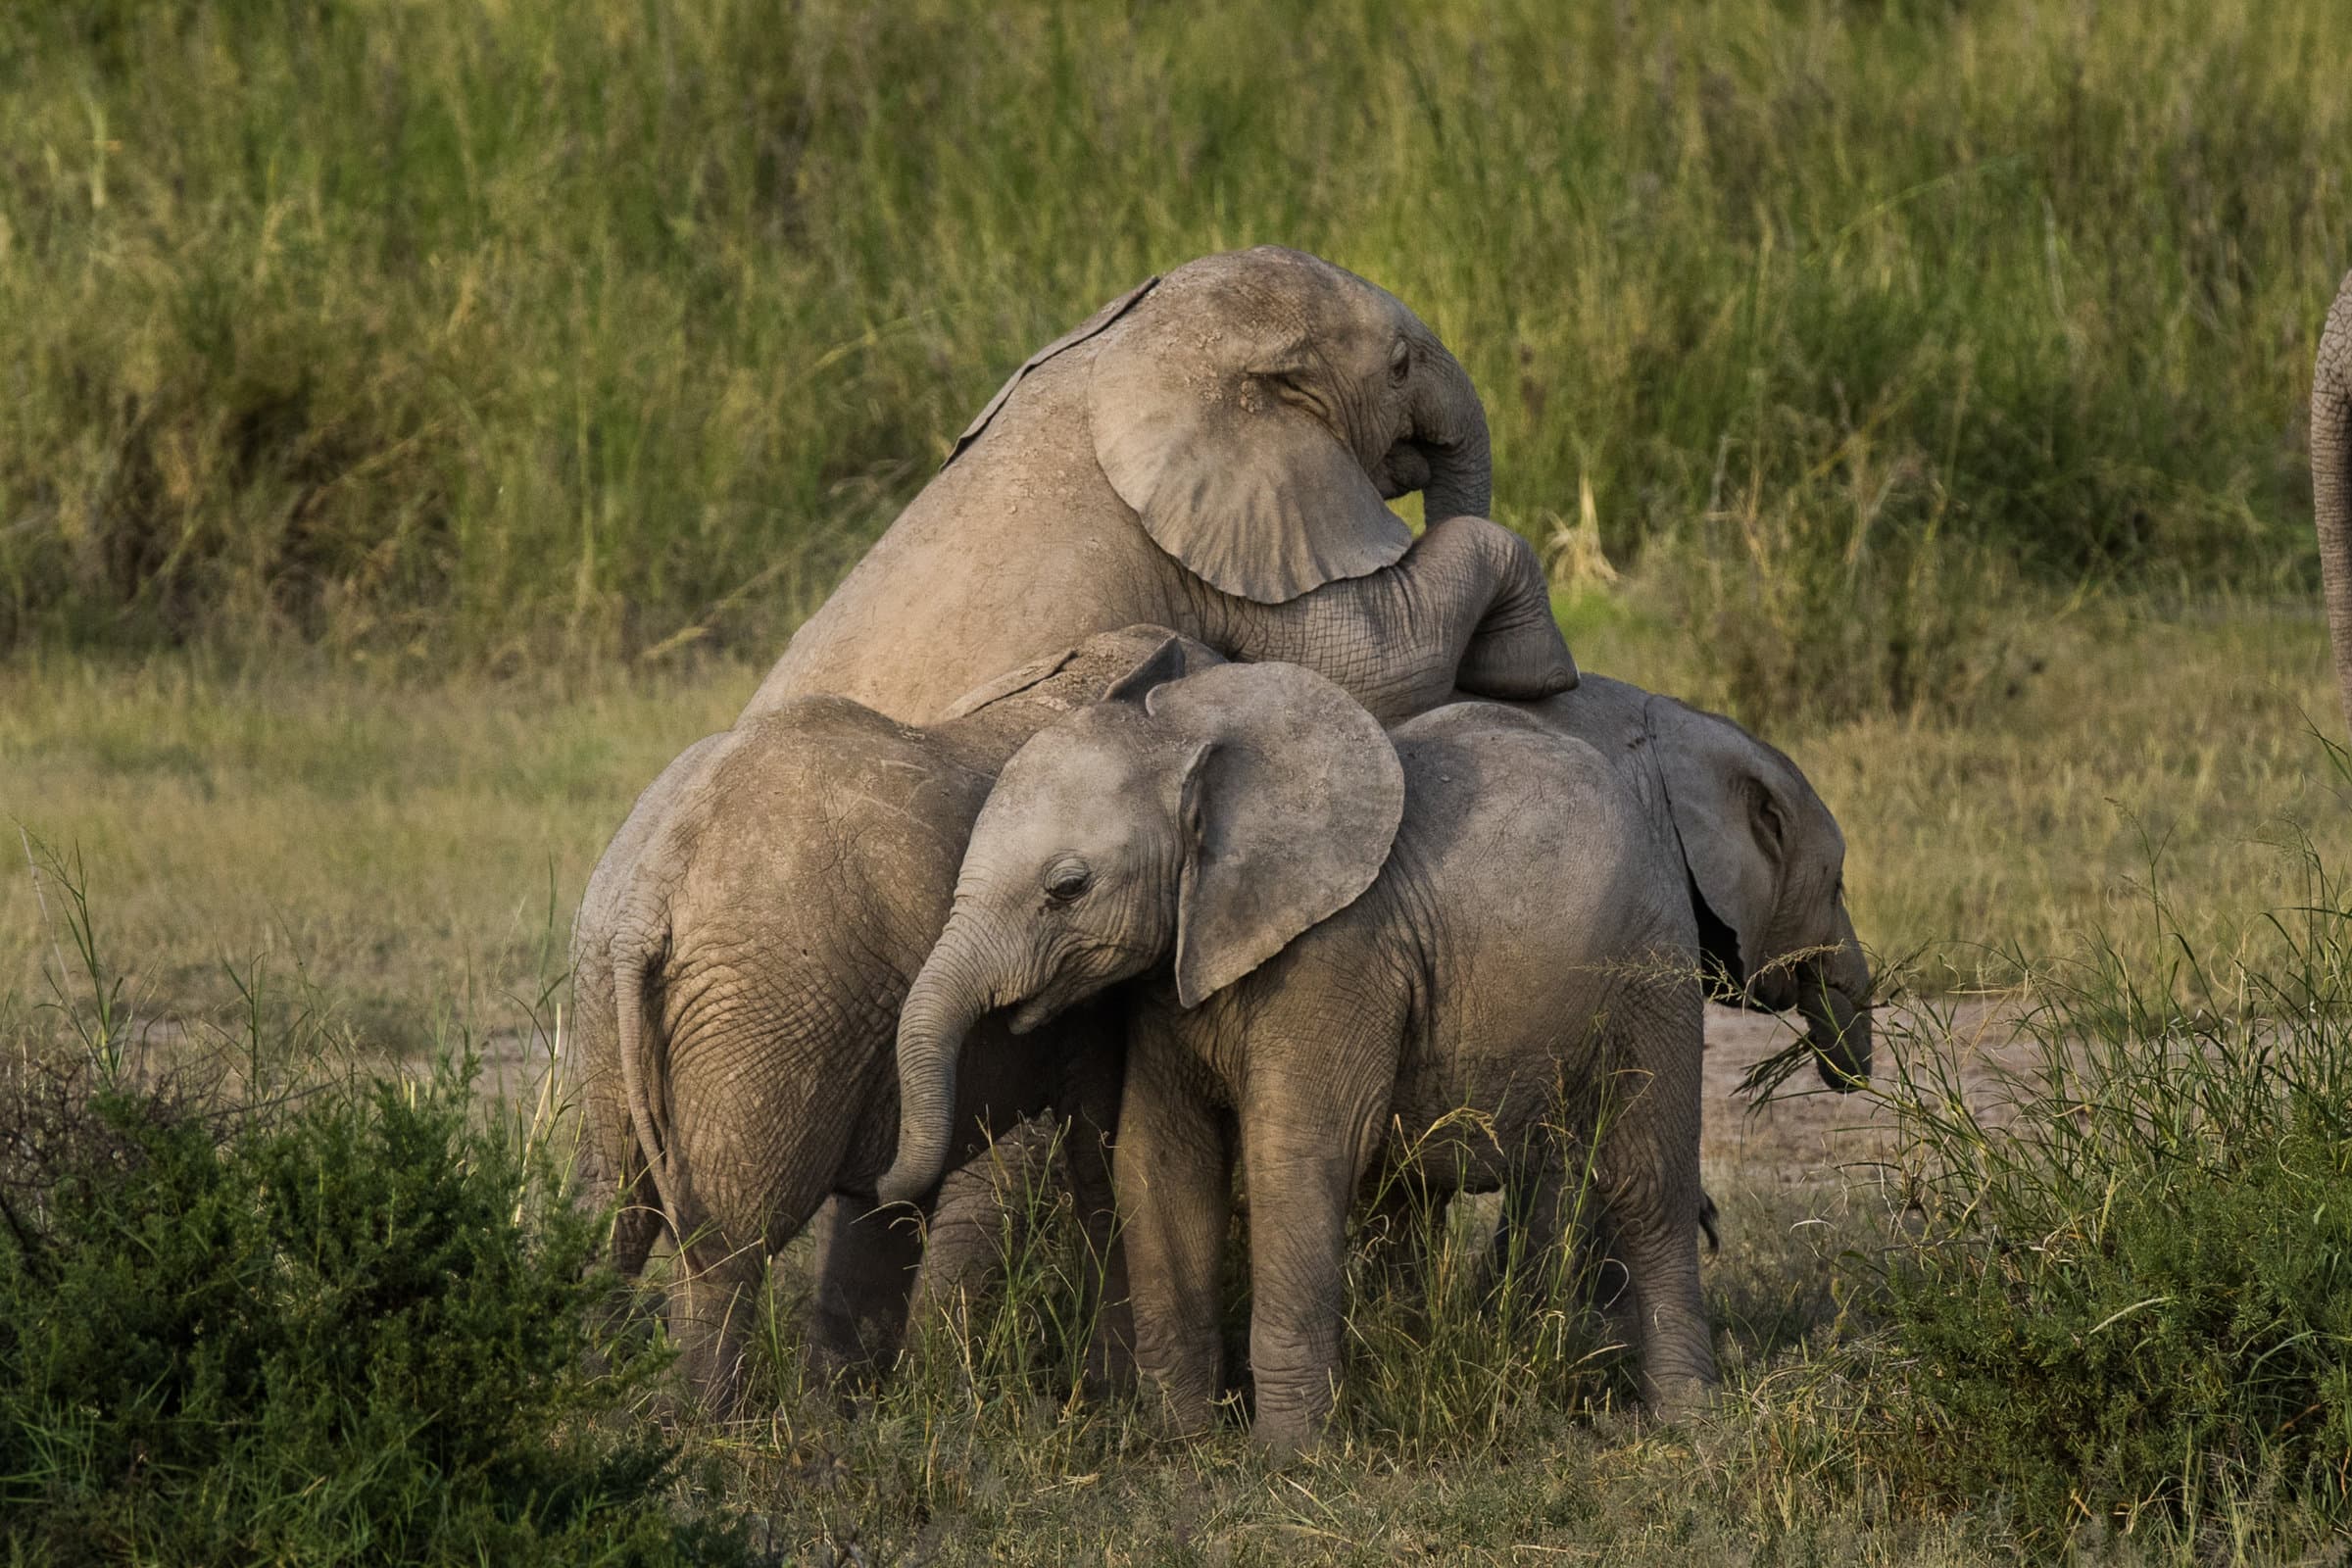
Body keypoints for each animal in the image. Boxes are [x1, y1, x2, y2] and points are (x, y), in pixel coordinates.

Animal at [570, 626, 1226, 1410]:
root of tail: (655, 878)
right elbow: (1102, 1154)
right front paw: (1108, 1400)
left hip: (611, 986)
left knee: (613, 1212)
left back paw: (592, 1402)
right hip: (770, 1000)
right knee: (726, 1241)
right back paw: (700, 1425)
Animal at [878, 653, 1717, 1449]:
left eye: (1068, 887)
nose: (886, 1184)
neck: (1187, 742)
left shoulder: (1338, 954)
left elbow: (1297, 1154)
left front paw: (1288, 1459)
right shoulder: (1174, 974)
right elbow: (1163, 1155)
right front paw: (1179, 1441)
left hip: (1655, 967)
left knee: (1648, 1182)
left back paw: (1681, 1423)